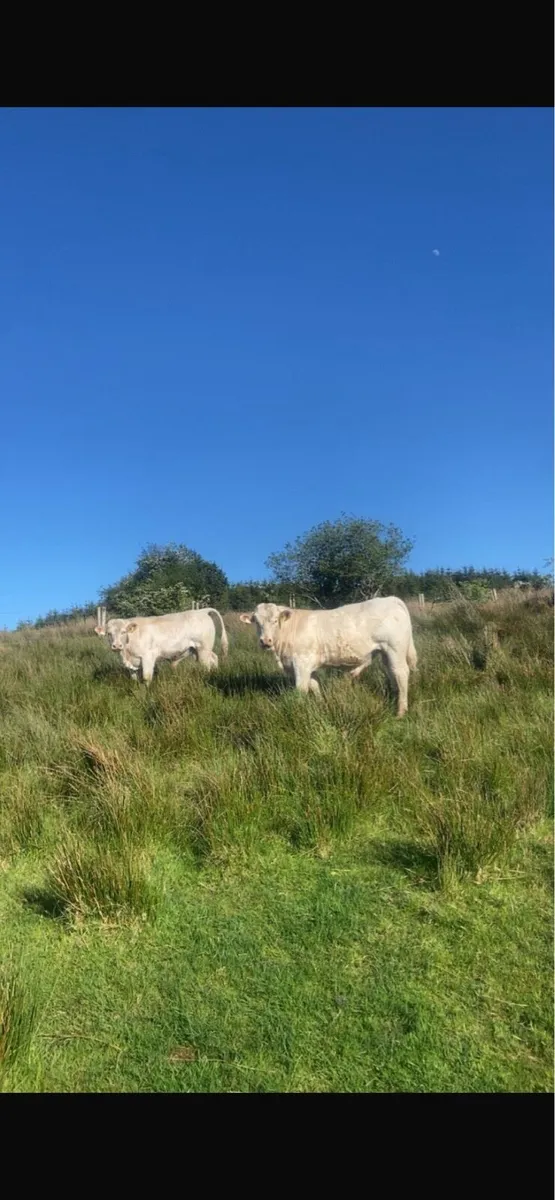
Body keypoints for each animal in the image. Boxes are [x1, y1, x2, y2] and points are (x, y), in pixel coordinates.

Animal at [99, 608, 228, 684]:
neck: (127, 653)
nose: (117, 645)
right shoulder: (132, 663)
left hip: (203, 649)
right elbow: (134, 678)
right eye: (109, 633)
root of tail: (202, 611)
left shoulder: (148, 657)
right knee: (214, 658)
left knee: (206, 665)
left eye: (123, 632)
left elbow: (146, 677)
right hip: (200, 650)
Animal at [240, 598, 417, 716]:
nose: (265, 641)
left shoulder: (301, 664)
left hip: (395, 649)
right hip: (386, 653)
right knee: (392, 674)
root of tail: (391, 599)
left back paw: (401, 712)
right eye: (256, 621)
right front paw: (320, 704)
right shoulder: (309, 666)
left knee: (401, 673)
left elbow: (301, 689)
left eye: (275, 620)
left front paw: (298, 710)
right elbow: (314, 686)